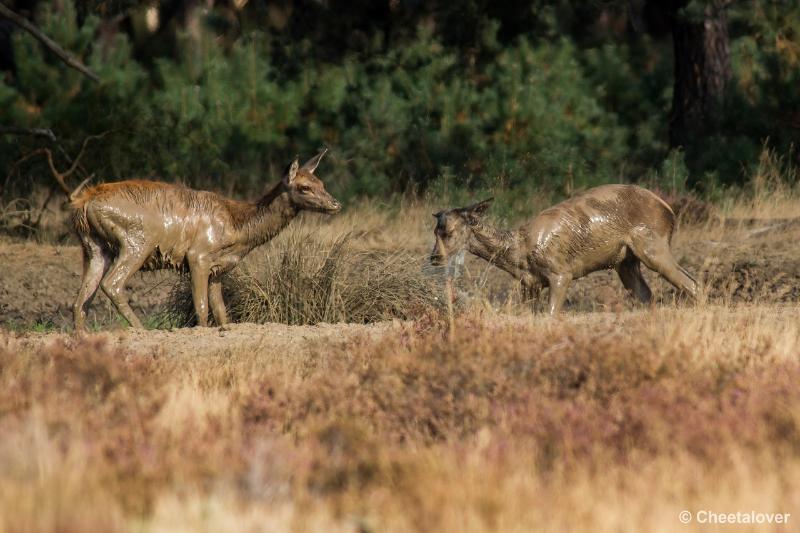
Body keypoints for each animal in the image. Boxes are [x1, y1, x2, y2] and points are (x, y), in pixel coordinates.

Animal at [59, 150, 340, 330]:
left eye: (321, 182)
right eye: (304, 187)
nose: (335, 203)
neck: (238, 230)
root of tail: (83, 204)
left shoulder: (218, 269)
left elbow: (222, 312)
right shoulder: (198, 256)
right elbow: (202, 309)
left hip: (93, 246)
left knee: (80, 300)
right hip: (137, 240)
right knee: (112, 284)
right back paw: (140, 331)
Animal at [428, 185, 696, 314]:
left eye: (448, 231)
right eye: (434, 231)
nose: (434, 258)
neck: (519, 253)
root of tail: (670, 212)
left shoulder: (560, 272)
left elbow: (552, 312)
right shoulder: (529, 283)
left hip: (652, 244)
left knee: (691, 283)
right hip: (626, 262)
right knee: (647, 295)